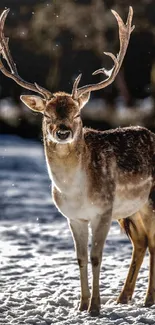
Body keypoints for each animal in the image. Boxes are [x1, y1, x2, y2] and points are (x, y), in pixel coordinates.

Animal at [0, 6, 154, 316]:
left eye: (78, 114)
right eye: (46, 114)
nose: (63, 131)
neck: (76, 190)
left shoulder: (104, 210)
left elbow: (96, 257)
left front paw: (95, 307)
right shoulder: (73, 217)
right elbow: (81, 258)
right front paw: (81, 306)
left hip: (150, 201)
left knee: (154, 243)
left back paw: (148, 298)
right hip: (134, 209)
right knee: (142, 242)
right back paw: (124, 298)